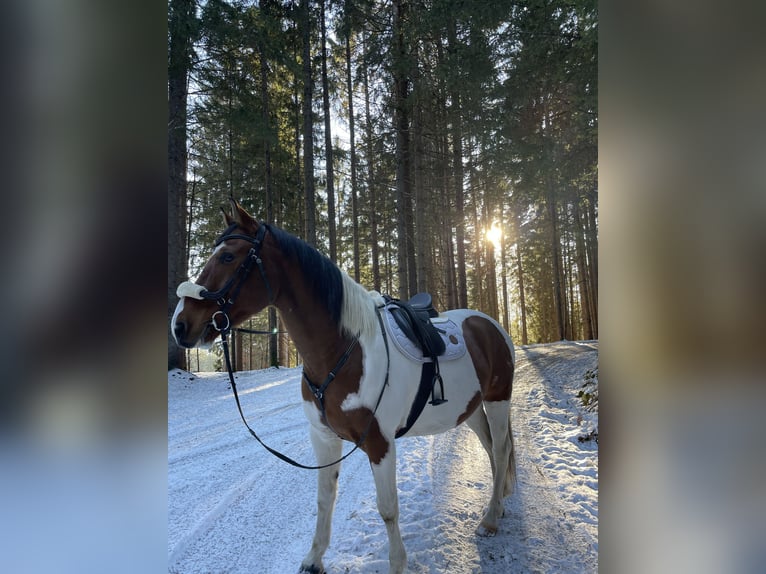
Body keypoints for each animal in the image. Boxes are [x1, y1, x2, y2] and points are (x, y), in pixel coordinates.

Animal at [173, 200, 520, 572]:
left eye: (227, 257)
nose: (180, 325)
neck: (344, 351)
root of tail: (489, 325)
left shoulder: (380, 444)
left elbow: (388, 509)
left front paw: (396, 563)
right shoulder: (323, 437)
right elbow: (325, 499)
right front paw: (314, 559)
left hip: (497, 400)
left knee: (501, 449)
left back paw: (490, 520)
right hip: (471, 409)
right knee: (492, 450)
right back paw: (497, 507)